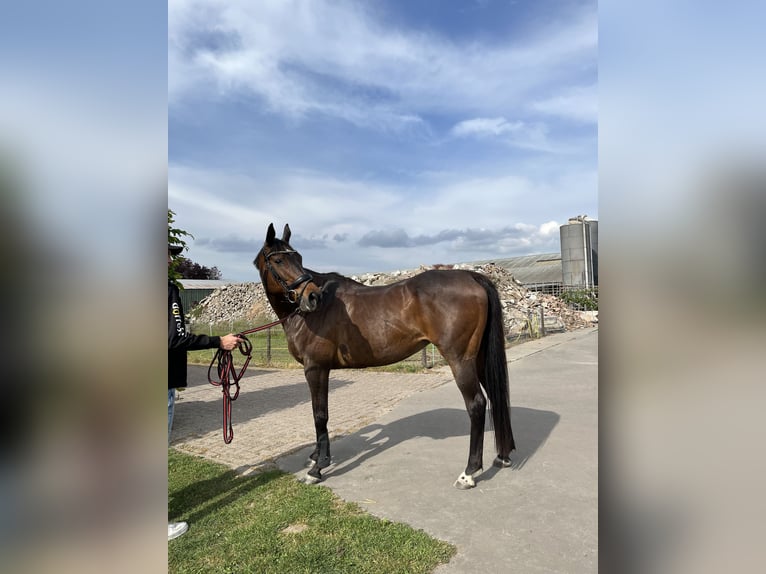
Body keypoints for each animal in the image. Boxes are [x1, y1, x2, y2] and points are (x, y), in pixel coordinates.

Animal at [253, 223, 515, 489]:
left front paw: (318, 467)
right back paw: (503, 456)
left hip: (460, 361)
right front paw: (316, 456)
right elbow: (319, 414)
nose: (311, 297)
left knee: (477, 404)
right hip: (479, 359)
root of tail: (472, 277)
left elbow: (320, 414)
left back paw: (469, 472)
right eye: (278, 260)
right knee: (495, 396)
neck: (312, 314)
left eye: (298, 258)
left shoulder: (316, 368)